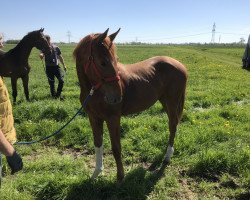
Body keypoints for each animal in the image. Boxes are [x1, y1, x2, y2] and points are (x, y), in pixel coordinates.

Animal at [73, 28, 187, 182]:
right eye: (102, 62)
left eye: (116, 60)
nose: (117, 97)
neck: (94, 92)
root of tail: (180, 65)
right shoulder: (94, 117)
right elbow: (98, 143)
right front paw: (96, 173)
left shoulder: (113, 118)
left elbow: (116, 148)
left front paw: (120, 177)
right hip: (164, 101)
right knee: (173, 126)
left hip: (172, 101)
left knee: (173, 125)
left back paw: (167, 157)